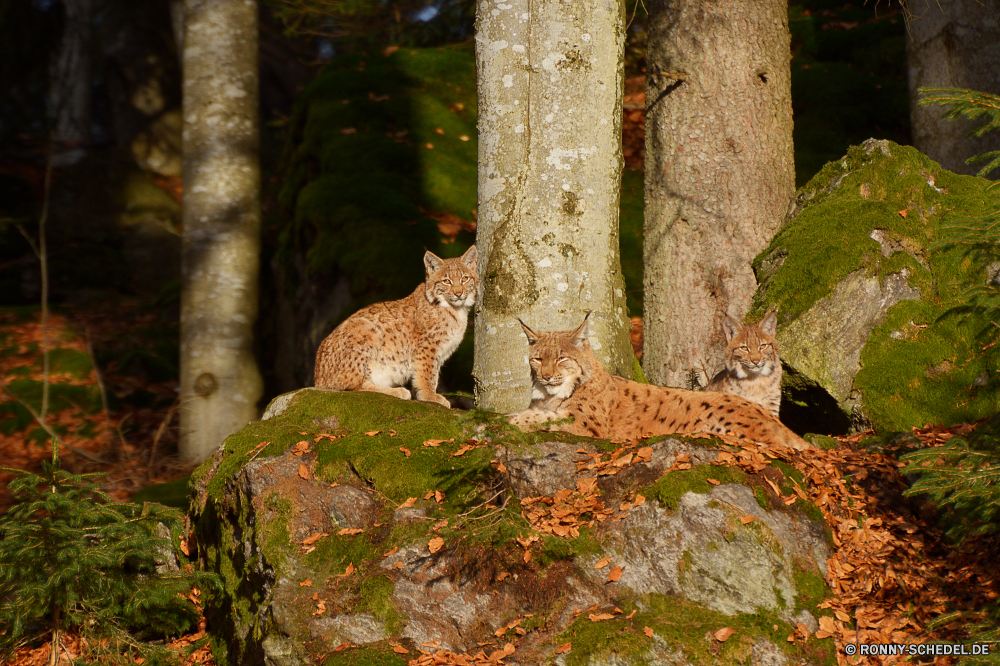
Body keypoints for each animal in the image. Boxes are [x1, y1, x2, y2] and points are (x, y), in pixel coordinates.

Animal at [316, 245, 480, 404]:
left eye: (465, 279)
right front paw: (429, 396)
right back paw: (396, 391)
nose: (458, 293)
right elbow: (428, 373)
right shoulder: (427, 345)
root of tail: (317, 378)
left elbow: (429, 374)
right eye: (446, 281)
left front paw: (421, 394)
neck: (456, 309)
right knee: (352, 386)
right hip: (364, 327)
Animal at [508, 314, 812, 448]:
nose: (546, 376)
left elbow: (546, 419)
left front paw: (515, 419)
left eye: (561, 358)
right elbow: (540, 414)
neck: (552, 393)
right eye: (538, 359)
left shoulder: (587, 426)